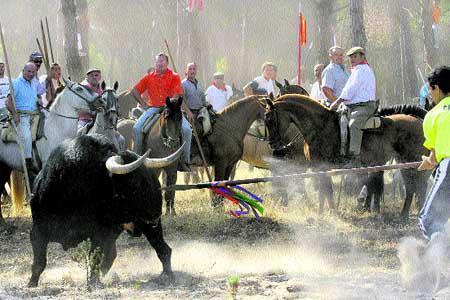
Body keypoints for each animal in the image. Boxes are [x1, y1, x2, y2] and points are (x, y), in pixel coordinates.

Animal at [28, 135, 172, 286]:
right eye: (134, 184)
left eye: (147, 178)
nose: (156, 214)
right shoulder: (37, 231)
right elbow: (39, 262)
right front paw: (31, 283)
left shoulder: (100, 233)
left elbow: (95, 258)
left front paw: (93, 282)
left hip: (147, 228)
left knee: (163, 249)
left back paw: (167, 276)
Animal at [266, 94, 430, 218]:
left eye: (270, 118)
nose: (273, 144)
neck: (319, 126)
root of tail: (420, 122)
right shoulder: (319, 167)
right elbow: (326, 191)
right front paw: (327, 212)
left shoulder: (322, 166)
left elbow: (325, 190)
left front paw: (326, 213)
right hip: (404, 163)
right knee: (411, 188)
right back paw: (404, 215)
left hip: (411, 162)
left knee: (417, 187)